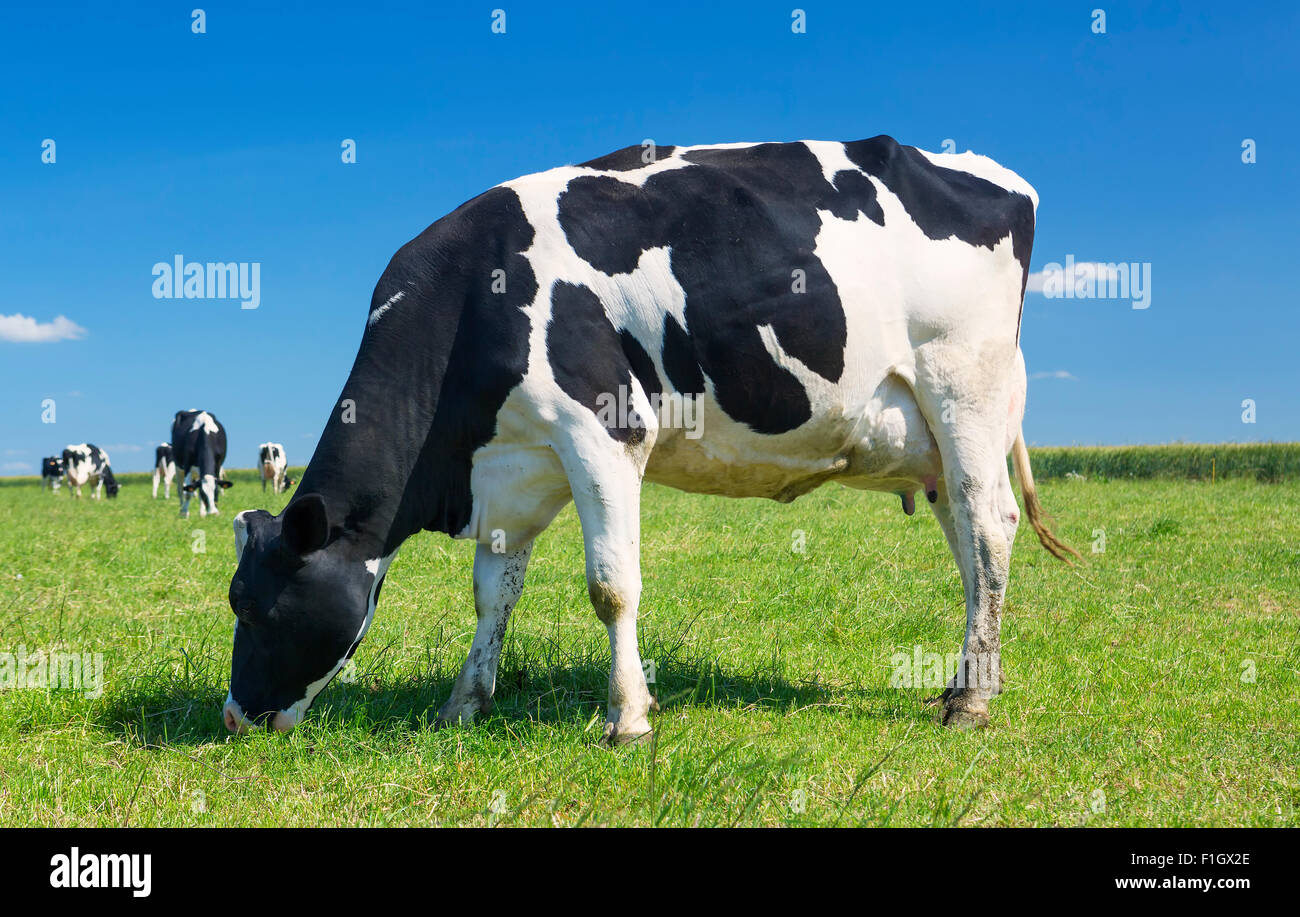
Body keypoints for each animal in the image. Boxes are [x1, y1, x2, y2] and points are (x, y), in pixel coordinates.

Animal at [223, 136, 1078, 741]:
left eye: (255, 607)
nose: (233, 716)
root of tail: (988, 172)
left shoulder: (602, 432)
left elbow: (611, 585)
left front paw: (627, 717)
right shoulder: (513, 466)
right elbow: (492, 594)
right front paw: (463, 703)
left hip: (963, 390)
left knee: (990, 528)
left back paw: (970, 702)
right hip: (933, 438)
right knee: (969, 545)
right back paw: (967, 680)